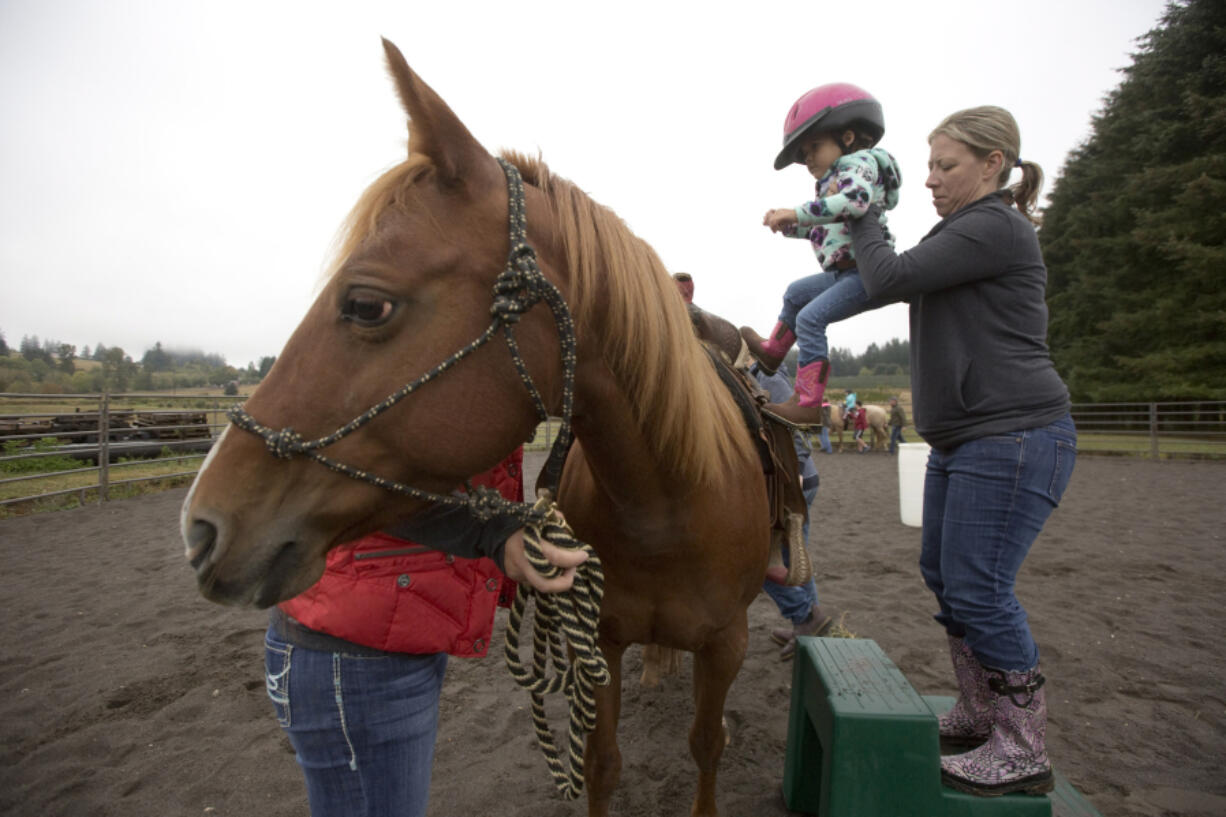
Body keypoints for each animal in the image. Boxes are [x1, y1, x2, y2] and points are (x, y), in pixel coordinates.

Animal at [177, 41, 769, 814]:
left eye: (365, 304)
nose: (199, 527)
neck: (670, 502)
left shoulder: (727, 644)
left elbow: (707, 746)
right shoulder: (600, 639)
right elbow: (601, 763)